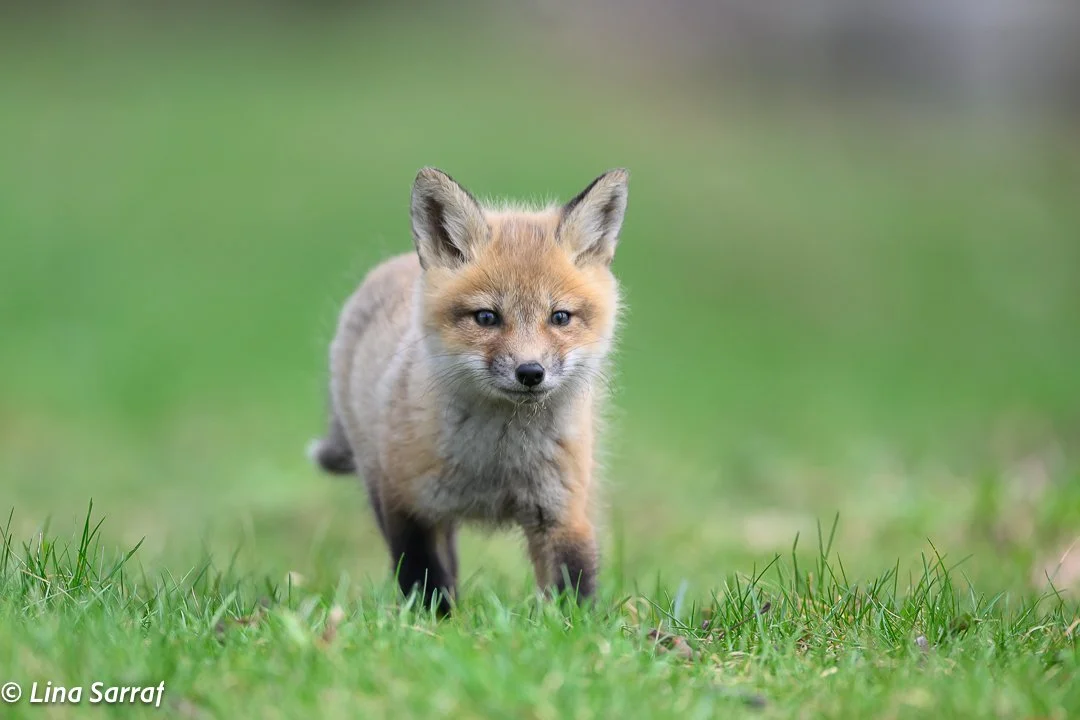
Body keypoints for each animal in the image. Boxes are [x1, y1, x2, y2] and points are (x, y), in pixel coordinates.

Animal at [307, 167, 629, 616]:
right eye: (487, 317)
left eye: (560, 317)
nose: (531, 372)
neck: (496, 464)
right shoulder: (406, 506)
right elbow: (425, 580)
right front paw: (434, 625)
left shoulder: (564, 510)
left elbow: (573, 586)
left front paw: (574, 628)